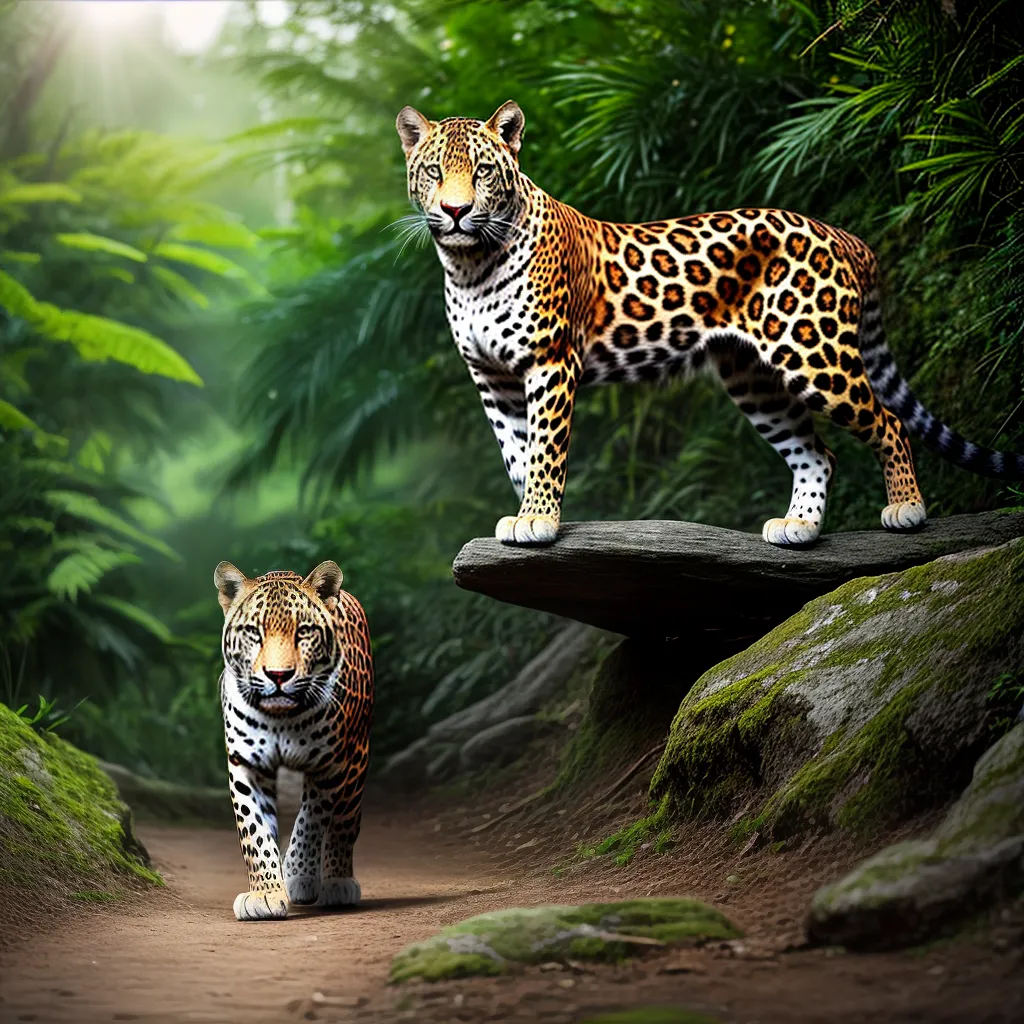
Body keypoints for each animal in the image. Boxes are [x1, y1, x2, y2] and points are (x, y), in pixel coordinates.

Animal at [214, 559, 373, 921]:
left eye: (304, 631)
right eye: (253, 633)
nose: (278, 676)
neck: (281, 719)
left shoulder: (328, 763)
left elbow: (310, 821)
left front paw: (298, 875)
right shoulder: (245, 765)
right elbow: (255, 832)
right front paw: (265, 893)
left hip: (357, 755)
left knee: (344, 822)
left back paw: (338, 881)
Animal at [395, 99, 1024, 547]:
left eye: (482, 171)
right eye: (433, 172)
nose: (454, 211)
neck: (470, 266)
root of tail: (841, 233)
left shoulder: (549, 362)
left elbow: (545, 450)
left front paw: (538, 520)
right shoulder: (492, 380)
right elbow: (517, 455)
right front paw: (526, 512)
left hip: (816, 355)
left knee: (889, 422)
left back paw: (906, 509)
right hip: (753, 377)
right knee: (817, 452)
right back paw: (799, 528)